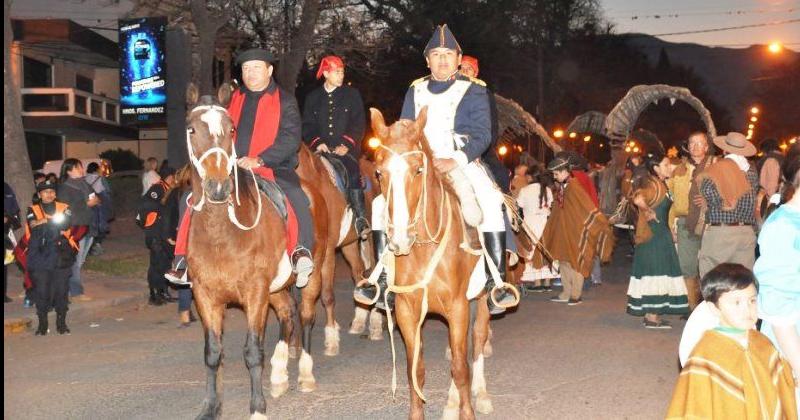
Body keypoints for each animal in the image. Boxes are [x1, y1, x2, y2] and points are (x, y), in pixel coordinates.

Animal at [372, 108, 496, 420]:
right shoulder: (407, 311)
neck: (423, 250)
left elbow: (461, 368)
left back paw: (480, 395)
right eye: (379, 172)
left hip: (481, 299)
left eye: (419, 170)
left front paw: (467, 412)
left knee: (477, 342)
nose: (400, 239)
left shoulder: (458, 307)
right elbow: (415, 370)